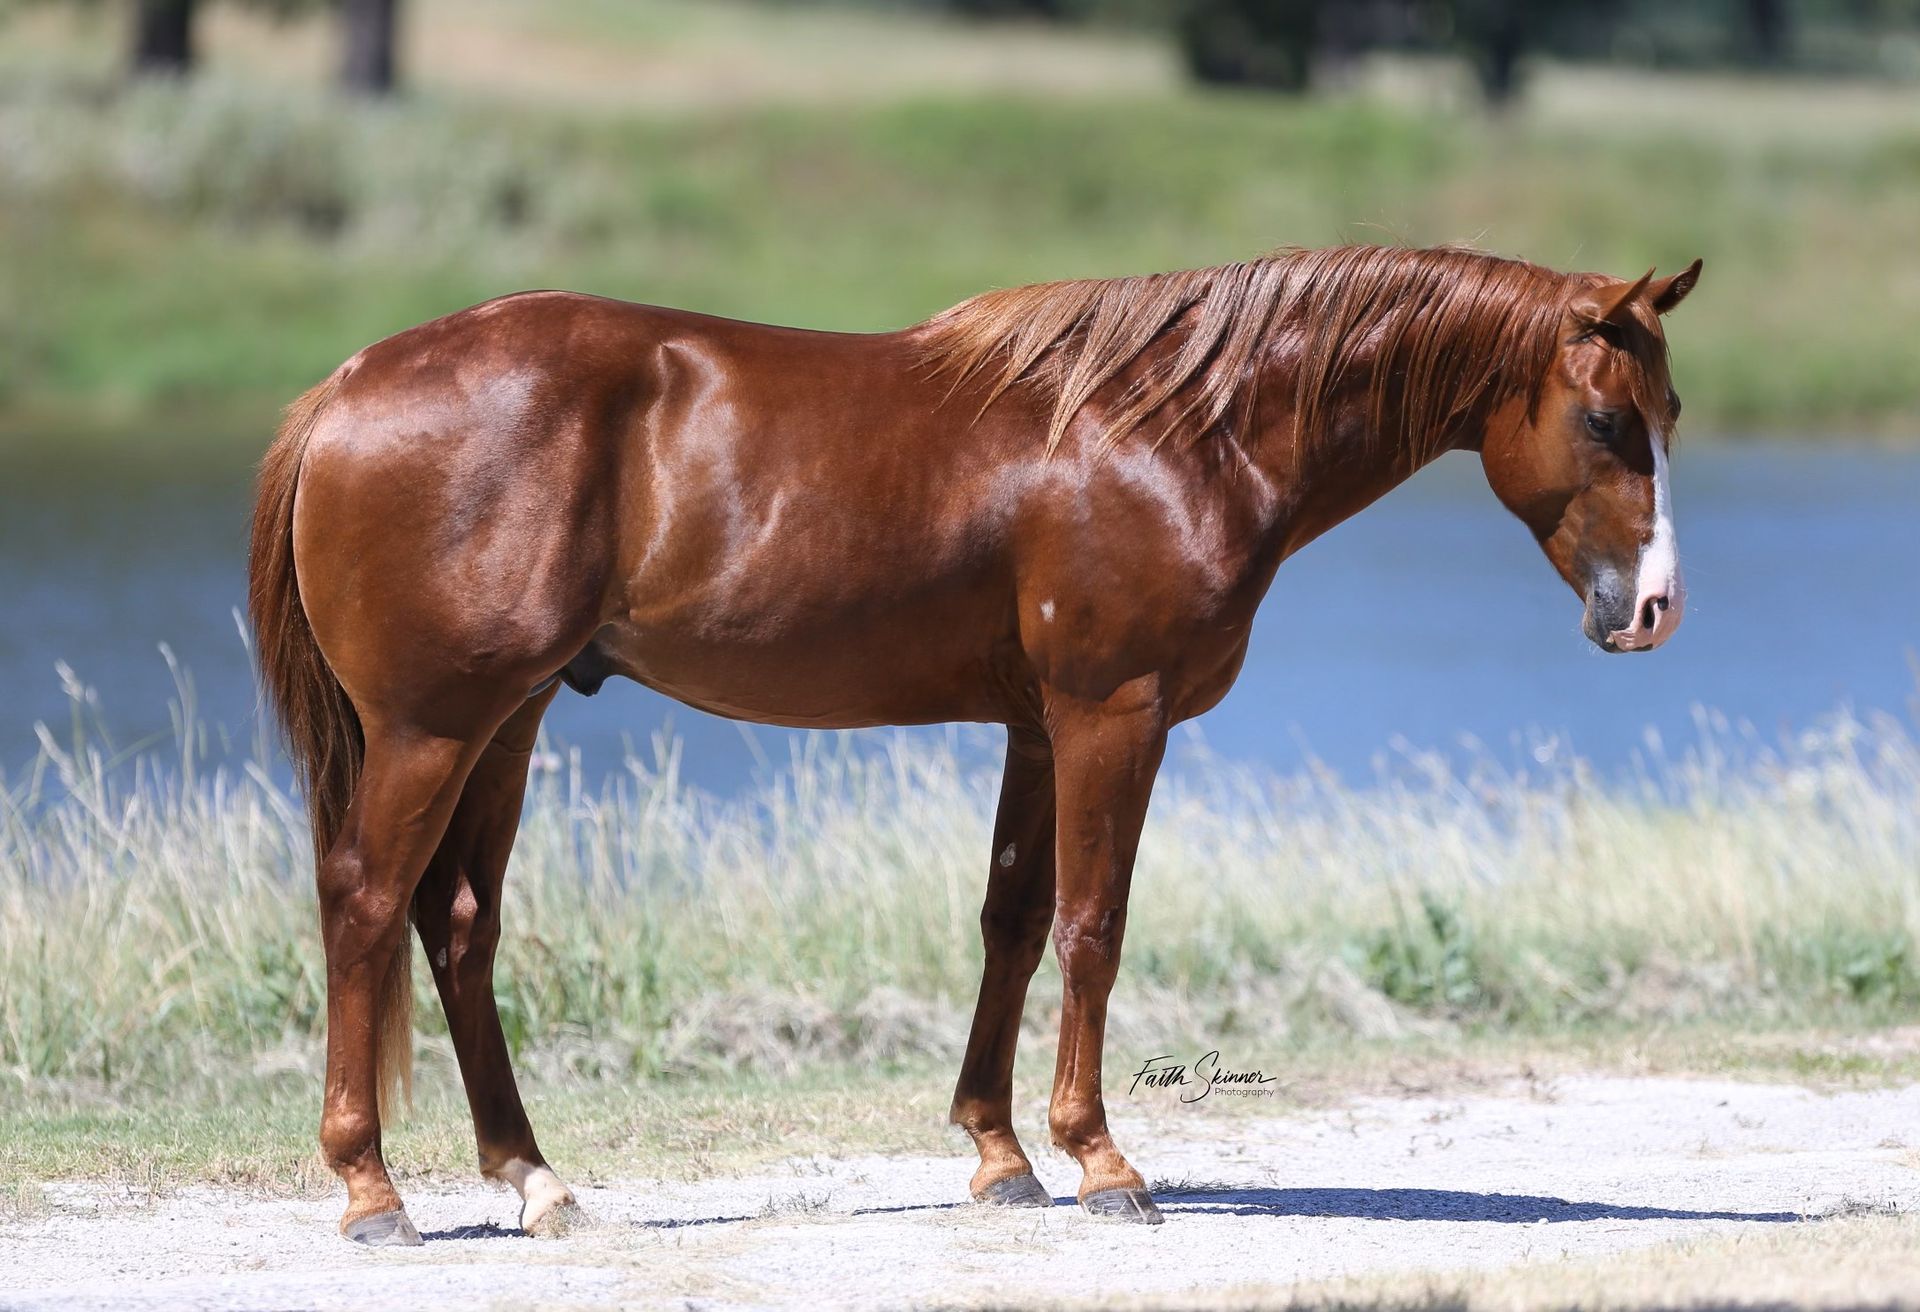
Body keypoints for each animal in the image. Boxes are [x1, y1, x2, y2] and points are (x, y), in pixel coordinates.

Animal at [248, 243, 1700, 1243]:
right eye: (1607, 418)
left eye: (1669, 415)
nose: (1652, 610)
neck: (1180, 427)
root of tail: (341, 391)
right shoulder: (1113, 713)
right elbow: (1093, 927)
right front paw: (1102, 1162)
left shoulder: (1038, 728)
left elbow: (1014, 920)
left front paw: (1000, 1158)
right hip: (435, 727)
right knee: (366, 906)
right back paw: (371, 1188)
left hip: (512, 720)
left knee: (458, 927)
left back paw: (534, 1180)